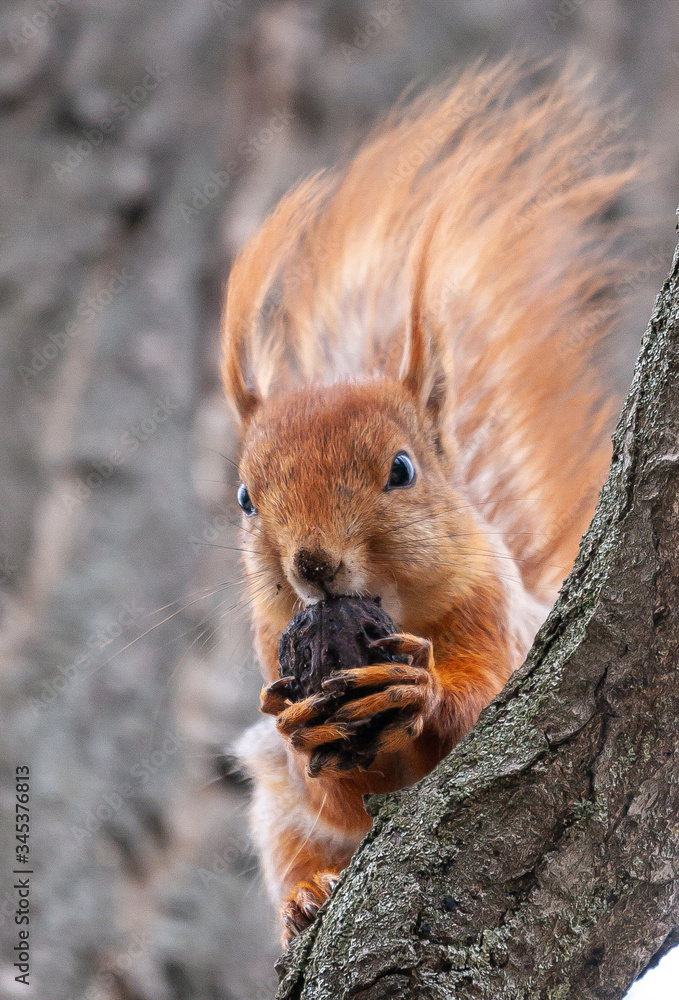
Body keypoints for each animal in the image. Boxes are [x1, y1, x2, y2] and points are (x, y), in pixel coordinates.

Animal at [220, 56, 636, 944]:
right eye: (244, 497)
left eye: (402, 470)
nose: (313, 563)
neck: (391, 606)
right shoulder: (274, 643)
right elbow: (335, 794)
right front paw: (302, 726)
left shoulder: (497, 620)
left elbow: (483, 711)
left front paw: (421, 690)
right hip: (273, 816)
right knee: (299, 845)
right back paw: (304, 897)